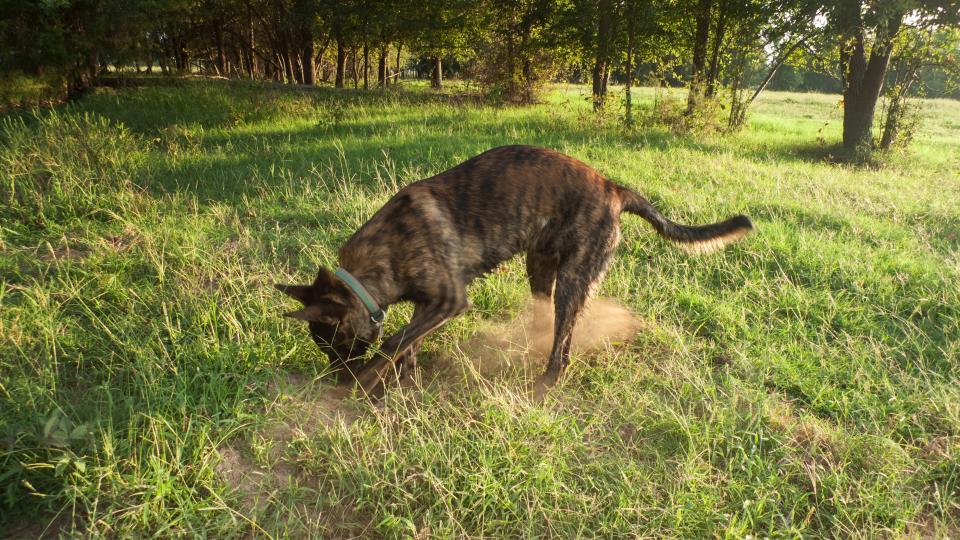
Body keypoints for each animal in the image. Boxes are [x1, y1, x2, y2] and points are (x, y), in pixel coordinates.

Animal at [274, 144, 752, 396]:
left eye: (336, 344)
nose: (337, 379)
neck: (372, 267)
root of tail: (614, 189)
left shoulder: (448, 300)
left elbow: (394, 341)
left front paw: (369, 382)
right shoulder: (429, 306)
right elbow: (406, 341)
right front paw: (401, 376)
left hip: (573, 281)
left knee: (563, 345)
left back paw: (546, 381)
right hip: (539, 268)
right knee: (544, 321)